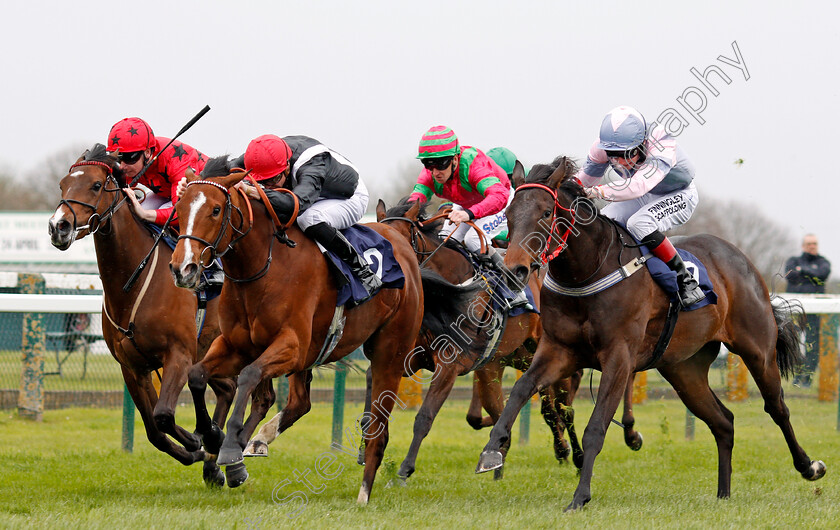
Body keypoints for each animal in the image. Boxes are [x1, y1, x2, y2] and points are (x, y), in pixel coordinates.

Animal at [47, 143, 235, 482]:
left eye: (96, 185)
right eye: (62, 185)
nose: (58, 226)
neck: (132, 283)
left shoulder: (178, 355)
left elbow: (163, 415)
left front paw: (197, 441)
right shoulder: (132, 367)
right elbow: (154, 431)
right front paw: (196, 449)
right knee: (227, 389)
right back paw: (213, 463)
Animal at [171, 155, 434, 502]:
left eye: (215, 210)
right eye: (180, 207)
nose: (182, 268)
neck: (263, 266)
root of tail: (402, 244)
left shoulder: (291, 346)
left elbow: (248, 376)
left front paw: (228, 447)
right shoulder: (234, 344)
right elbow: (197, 375)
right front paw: (212, 436)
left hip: (390, 353)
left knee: (378, 427)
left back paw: (364, 493)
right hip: (316, 352)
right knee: (299, 402)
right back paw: (257, 440)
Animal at [374, 193, 644, 474]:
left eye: (400, 243)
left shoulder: (453, 364)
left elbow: (426, 415)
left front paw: (404, 469)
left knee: (564, 407)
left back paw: (584, 452)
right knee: (550, 407)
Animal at [480, 156, 828, 508]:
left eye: (545, 213)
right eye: (509, 215)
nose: (514, 270)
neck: (588, 271)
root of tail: (740, 257)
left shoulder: (619, 357)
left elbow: (597, 426)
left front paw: (580, 497)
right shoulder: (559, 350)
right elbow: (521, 390)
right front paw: (492, 451)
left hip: (757, 350)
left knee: (777, 408)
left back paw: (809, 466)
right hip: (684, 369)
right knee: (723, 422)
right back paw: (723, 494)